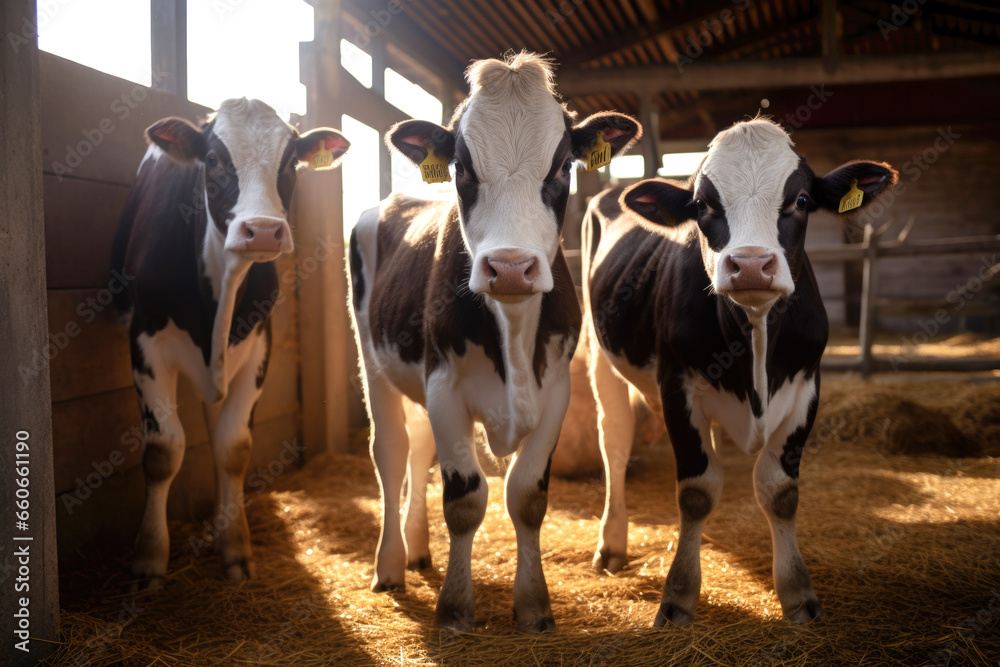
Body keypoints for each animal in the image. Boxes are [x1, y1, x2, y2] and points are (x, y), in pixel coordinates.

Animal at [110, 95, 348, 588]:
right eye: (216, 160)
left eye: (290, 162)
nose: (263, 230)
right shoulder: (144, 341)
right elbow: (164, 449)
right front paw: (149, 558)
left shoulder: (259, 342)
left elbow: (233, 448)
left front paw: (235, 546)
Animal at [348, 53, 636, 632]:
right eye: (461, 167)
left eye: (563, 167)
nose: (509, 267)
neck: (512, 326)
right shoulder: (445, 387)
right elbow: (464, 498)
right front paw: (456, 608)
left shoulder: (555, 393)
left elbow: (525, 494)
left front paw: (533, 606)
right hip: (373, 357)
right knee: (391, 452)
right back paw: (390, 566)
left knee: (418, 449)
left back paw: (418, 551)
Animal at [584, 118, 896, 628]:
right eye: (701, 205)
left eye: (802, 200)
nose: (750, 264)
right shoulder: (678, 385)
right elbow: (696, 490)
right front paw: (678, 596)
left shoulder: (808, 385)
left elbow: (779, 490)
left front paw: (798, 594)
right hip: (598, 352)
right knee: (614, 441)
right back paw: (611, 544)